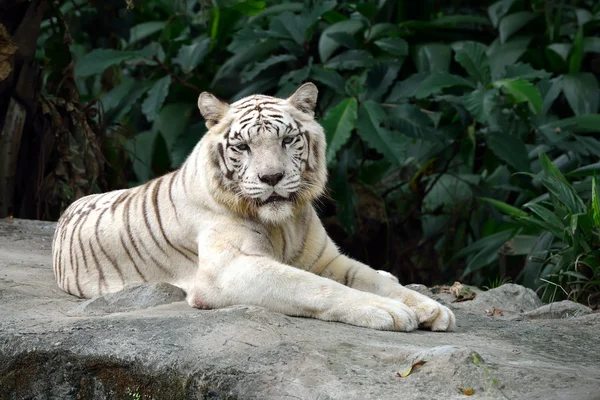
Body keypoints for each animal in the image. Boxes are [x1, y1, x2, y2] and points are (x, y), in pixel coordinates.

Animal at [52, 83, 454, 332]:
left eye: (288, 140)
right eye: (243, 146)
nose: (271, 177)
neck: (283, 223)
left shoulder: (326, 259)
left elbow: (371, 278)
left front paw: (431, 307)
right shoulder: (229, 271)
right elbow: (315, 288)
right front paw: (387, 311)